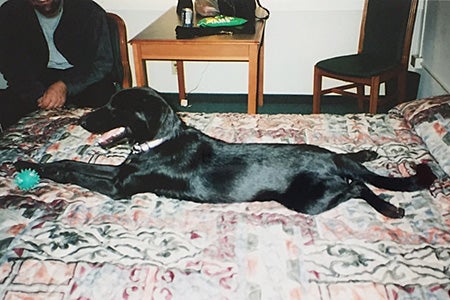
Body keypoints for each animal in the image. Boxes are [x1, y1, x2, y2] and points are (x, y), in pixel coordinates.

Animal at [15, 86, 438, 218]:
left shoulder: (121, 186)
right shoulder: (121, 173)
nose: (81, 120)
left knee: (357, 187)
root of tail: (329, 158)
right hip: (327, 163)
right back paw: (366, 155)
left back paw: (390, 208)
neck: (160, 142)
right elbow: (69, 162)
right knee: (357, 171)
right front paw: (28, 161)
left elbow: (75, 171)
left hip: (308, 199)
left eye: (115, 107)